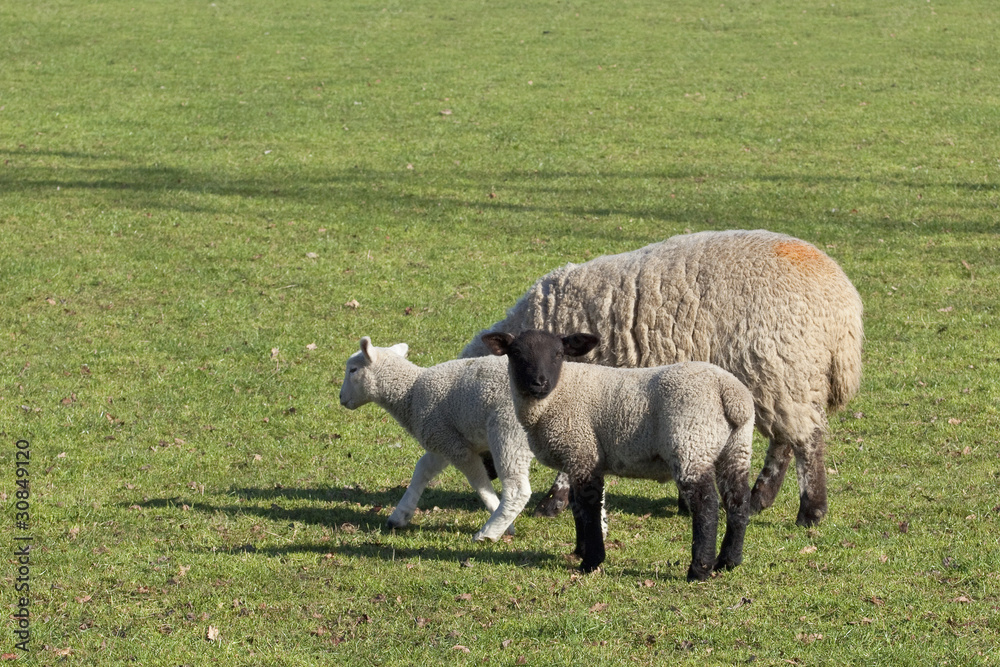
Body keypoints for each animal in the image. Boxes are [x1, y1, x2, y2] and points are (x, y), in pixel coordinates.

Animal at [339, 337, 533, 542]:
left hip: (508, 430)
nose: (341, 397)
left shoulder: (453, 445)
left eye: (353, 370)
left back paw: (488, 532)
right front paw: (400, 515)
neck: (410, 393)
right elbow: (422, 469)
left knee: (517, 490)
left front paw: (504, 521)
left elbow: (480, 482)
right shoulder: (442, 438)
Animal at [463, 229, 863, 527]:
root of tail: (844, 302)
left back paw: (810, 511)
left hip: (778, 368)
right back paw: (757, 500)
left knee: (807, 441)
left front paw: (553, 502)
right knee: (786, 439)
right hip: (784, 377)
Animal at [483, 329, 754, 581]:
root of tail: (730, 393)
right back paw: (728, 561)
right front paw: (581, 550)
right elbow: (577, 506)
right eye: (516, 354)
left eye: (558, 354)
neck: (557, 394)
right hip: (735, 447)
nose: (539, 383)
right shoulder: (578, 457)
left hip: (691, 442)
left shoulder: (583, 451)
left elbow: (590, 507)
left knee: (706, 506)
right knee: (738, 500)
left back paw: (699, 569)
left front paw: (591, 560)